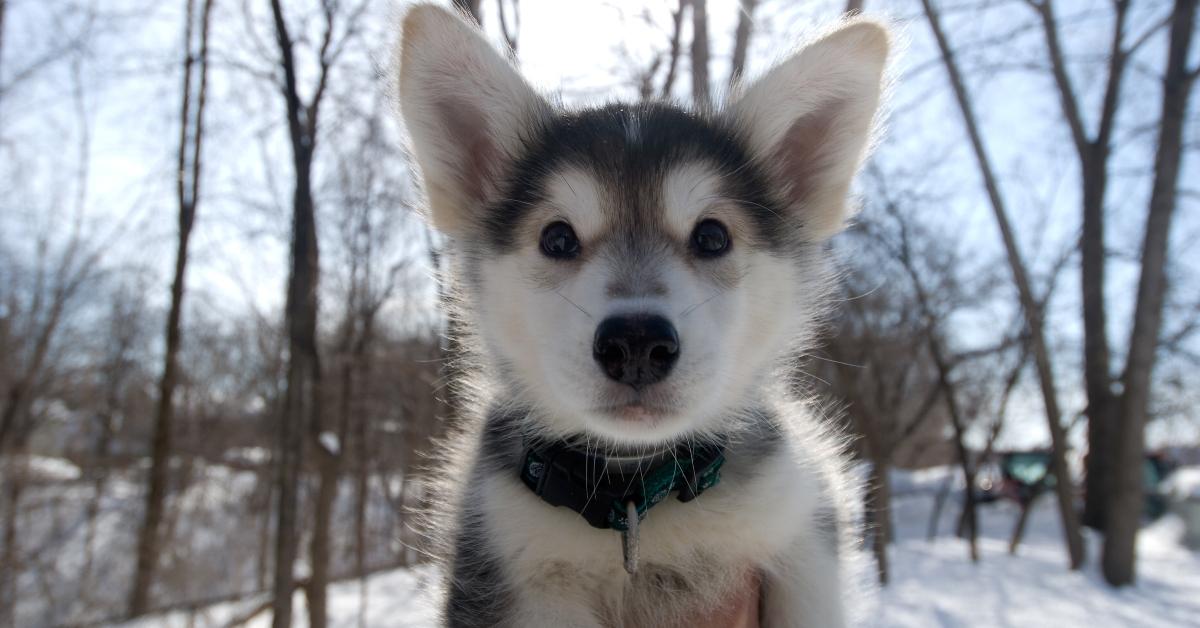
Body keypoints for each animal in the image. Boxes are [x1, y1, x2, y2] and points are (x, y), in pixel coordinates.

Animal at [396, 6, 892, 628]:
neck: (637, 499)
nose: (636, 343)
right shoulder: (511, 567)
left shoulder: (801, 513)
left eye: (712, 236)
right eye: (557, 238)